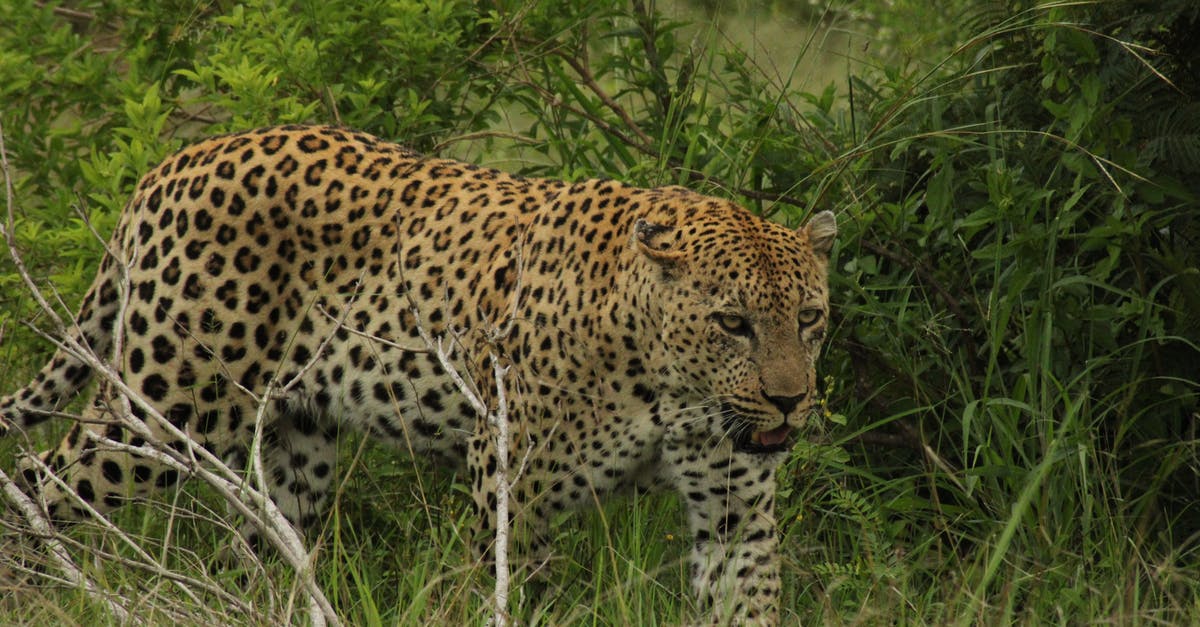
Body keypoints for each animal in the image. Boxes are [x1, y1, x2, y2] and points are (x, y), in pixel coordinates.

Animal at [0, 124, 840, 619]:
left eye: (810, 318)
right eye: (732, 323)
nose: (790, 401)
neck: (670, 386)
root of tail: (175, 161)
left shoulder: (736, 513)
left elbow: (745, 598)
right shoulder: (512, 488)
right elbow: (516, 598)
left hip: (297, 443)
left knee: (258, 549)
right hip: (166, 408)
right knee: (38, 478)